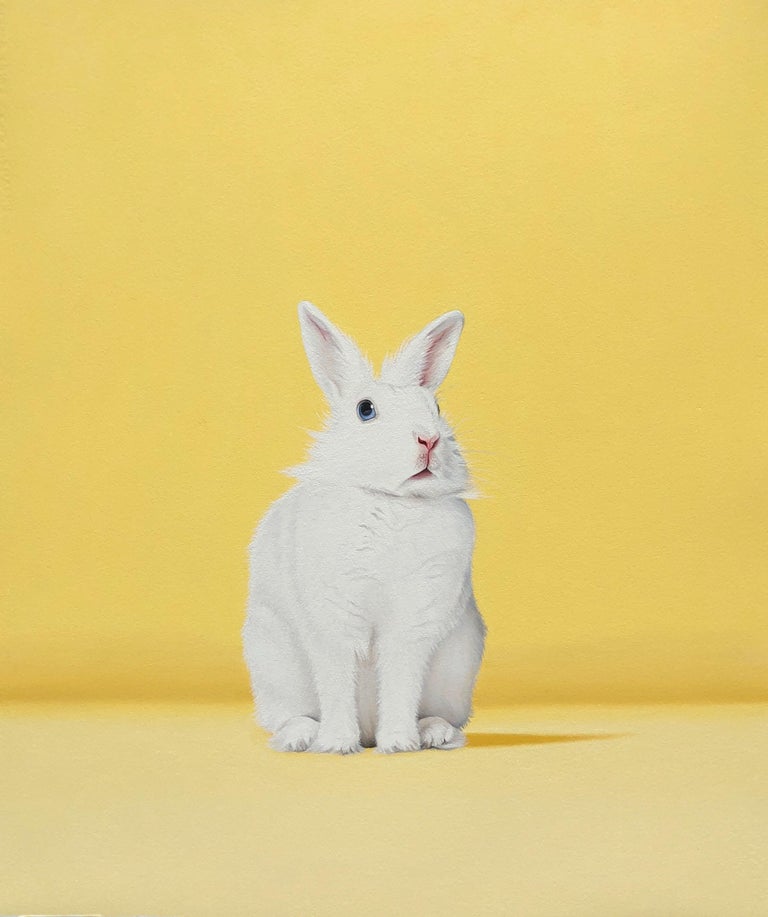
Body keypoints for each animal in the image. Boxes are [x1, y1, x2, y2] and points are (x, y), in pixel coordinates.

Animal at [242, 301, 486, 753]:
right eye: (365, 410)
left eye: (436, 408)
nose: (428, 440)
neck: (390, 501)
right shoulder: (332, 621)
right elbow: (338, 681)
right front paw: (338, 744)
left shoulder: (413, 621)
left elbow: (401, 681)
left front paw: (399, 743)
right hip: (274, 672)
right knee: (289, 715)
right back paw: (302, 737)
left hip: (455, 676)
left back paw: (433, 733)